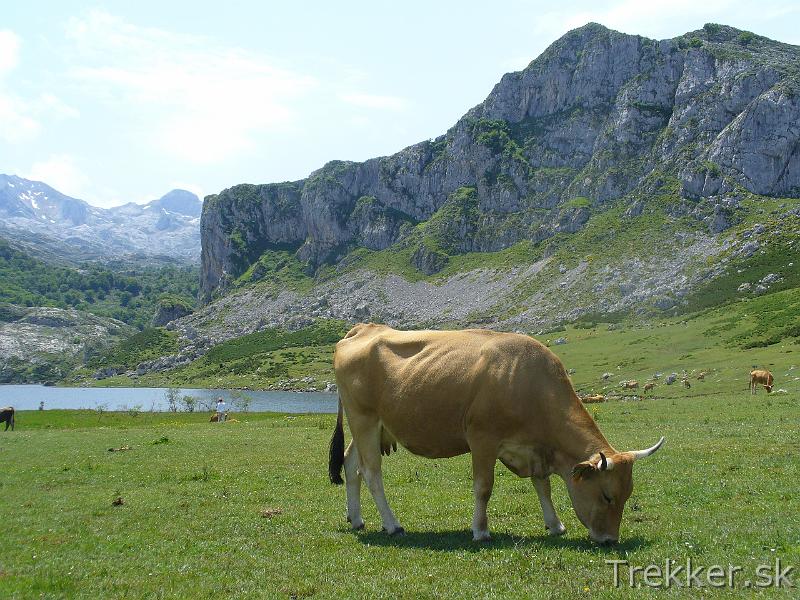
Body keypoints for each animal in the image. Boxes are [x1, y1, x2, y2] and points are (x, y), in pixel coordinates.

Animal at [328, 326, 664, 548]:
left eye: (628, 494)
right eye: (607, 495)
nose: (610, 540)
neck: (531, 384)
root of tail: (363, 329)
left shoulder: (535, 450)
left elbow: (543, 486)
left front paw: (555, 524)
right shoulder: (482, 439)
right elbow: (483, 487)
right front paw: (480, 530)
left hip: (370, 426)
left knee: (351, 465)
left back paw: (356, 519)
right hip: (364, 419)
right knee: (371, 472)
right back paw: (392, 524)